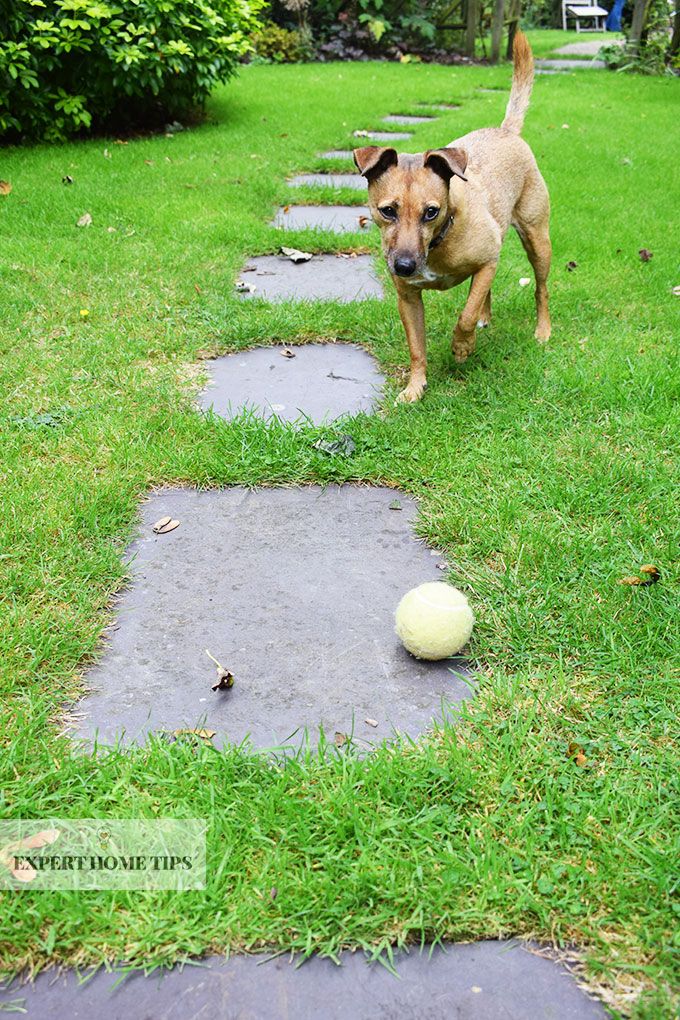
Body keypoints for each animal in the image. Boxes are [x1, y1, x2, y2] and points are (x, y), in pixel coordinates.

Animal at [356, 30, 554, 401]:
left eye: (431, 212)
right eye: (387, 211)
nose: (404, 266)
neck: (439, 241)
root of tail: (507, 131)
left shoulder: (487, 261)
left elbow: (465, 314)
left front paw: (462, 347)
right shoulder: (408, 298)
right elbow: (417, 347)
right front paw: (415, 388)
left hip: (537, 239)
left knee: (540, 289)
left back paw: (543, 330)